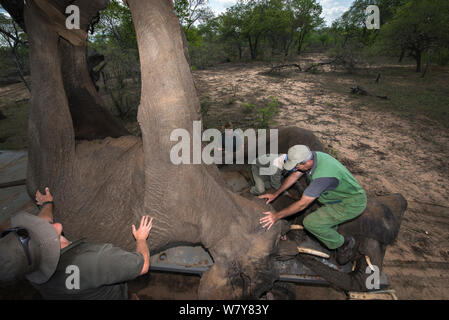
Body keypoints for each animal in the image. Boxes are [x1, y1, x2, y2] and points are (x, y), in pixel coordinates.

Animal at [0, 0, 404, 300]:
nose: (290, 234)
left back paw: (61, 20)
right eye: (278, 241)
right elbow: (175, 84)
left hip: (49, 164)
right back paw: (65, 17)